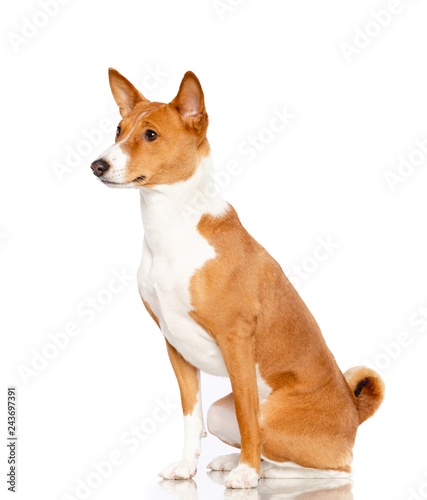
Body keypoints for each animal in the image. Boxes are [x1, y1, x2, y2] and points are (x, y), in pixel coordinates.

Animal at [89, 69, 384, 488]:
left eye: (150, 135)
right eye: (118, 129)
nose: (97, 165)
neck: (172, 229)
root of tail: (354, 412)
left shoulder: (236, 339)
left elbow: (248, 416)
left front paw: (248, 473)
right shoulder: (174, 344)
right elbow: (190, 418)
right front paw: (187, 467)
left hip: (279, 420)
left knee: (326, 464)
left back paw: (263, 471)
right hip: (219, 411)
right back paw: (235, 462)